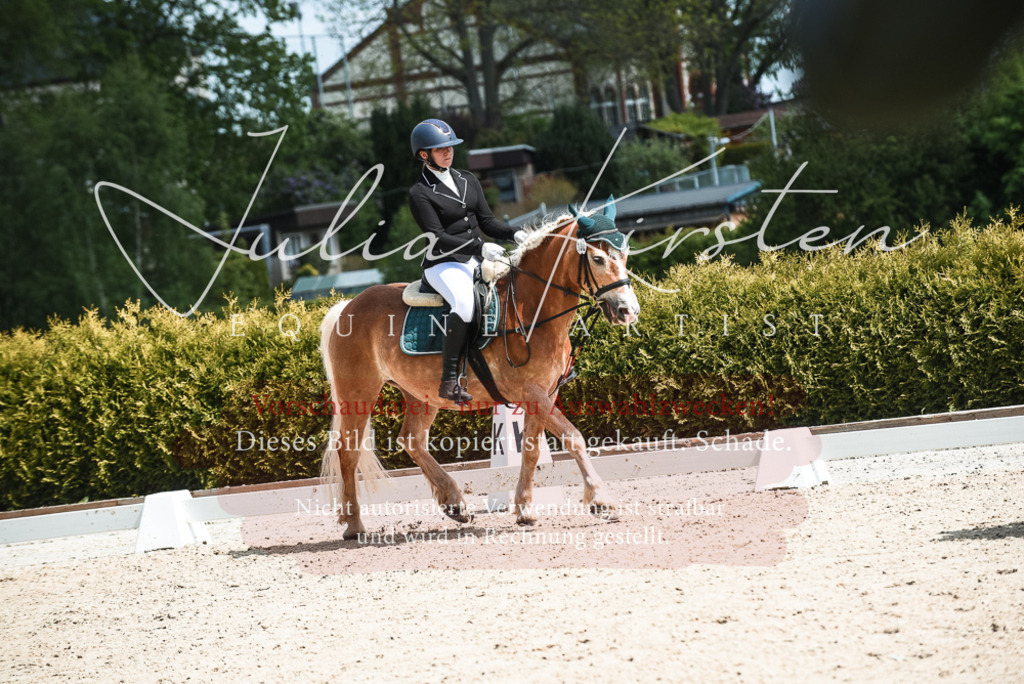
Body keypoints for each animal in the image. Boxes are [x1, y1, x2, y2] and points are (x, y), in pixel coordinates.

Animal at [318, 202, 640, 539]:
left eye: (625, 255)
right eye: (598, 258)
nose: (628, 311)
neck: (530, 308)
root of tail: (346, 307)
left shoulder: (543, 394)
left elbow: (531, 449)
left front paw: (525, 509)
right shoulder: (530, 392)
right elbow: (573, 437)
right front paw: (602, 500)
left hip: (421, 394)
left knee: (412, 440)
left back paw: (454, 503)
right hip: (359, 393)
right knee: (348, 451)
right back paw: (354, 524)